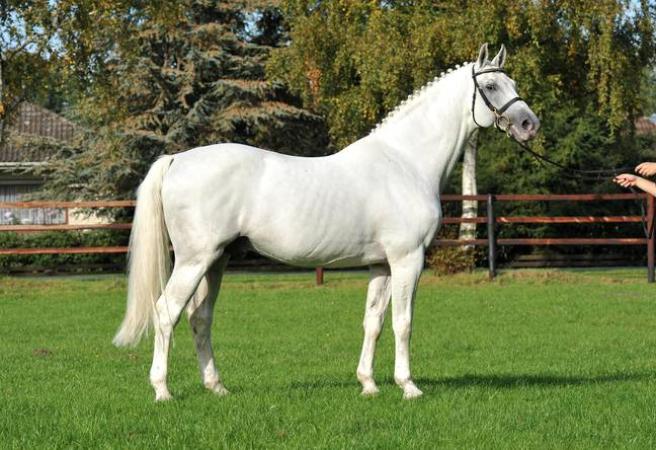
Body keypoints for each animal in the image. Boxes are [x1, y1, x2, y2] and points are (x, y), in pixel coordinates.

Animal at [113, 43, 540, 401]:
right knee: (165, 312)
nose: (528, 124)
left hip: (217, 259)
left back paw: (217, 387)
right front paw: (408, 386)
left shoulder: (381, 265)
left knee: (199, 318)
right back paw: (162, 391)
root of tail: (177, 159)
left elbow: (373, 322)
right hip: (194, 260)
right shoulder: (407, 260)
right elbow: (403, 322)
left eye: (514, 83)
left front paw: (369, 385)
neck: (405, 161)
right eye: (491, 85)